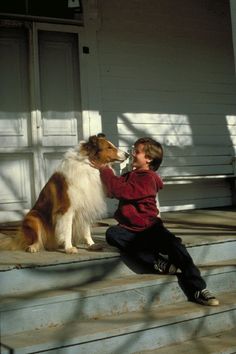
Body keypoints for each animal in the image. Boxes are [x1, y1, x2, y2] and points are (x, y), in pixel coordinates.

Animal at [0, 134, 128, 253]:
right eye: (109, 147)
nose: (127, 154)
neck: (87, 165)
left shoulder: (86, 206)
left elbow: (86, 230)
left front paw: (91, 244)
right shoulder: (67, 209)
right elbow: (67, 230)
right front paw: (69, 248)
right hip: (34, 217)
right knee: (35, 239)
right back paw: (33, 247)